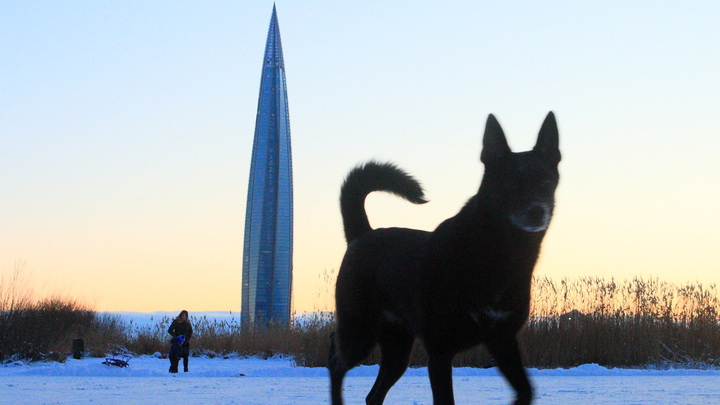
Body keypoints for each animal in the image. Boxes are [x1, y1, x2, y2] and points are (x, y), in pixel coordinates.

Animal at [330, 111, 560, 404]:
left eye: (546, 182)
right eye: (509, 183)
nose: (536, 211)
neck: (499, 254)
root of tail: (362, 235)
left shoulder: (503, 341)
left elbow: (526, 390)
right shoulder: (440, 352)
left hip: (397, 349)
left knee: (373, 394)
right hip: (359, 332)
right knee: (336, 364)